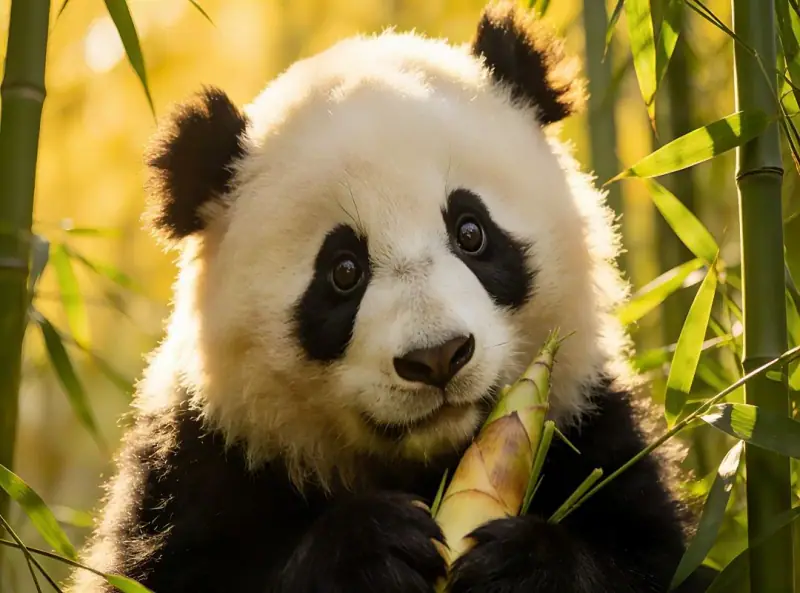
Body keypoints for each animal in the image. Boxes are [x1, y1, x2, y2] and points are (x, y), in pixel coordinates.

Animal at [68, 2, 715, 592]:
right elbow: (161, 570)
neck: (431, 462)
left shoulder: (593, 428)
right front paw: (371, 549)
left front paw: (524, 565)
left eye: (472, 232)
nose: (438, 357)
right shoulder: (197, 467)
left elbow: (657, 559)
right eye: (343, 271)